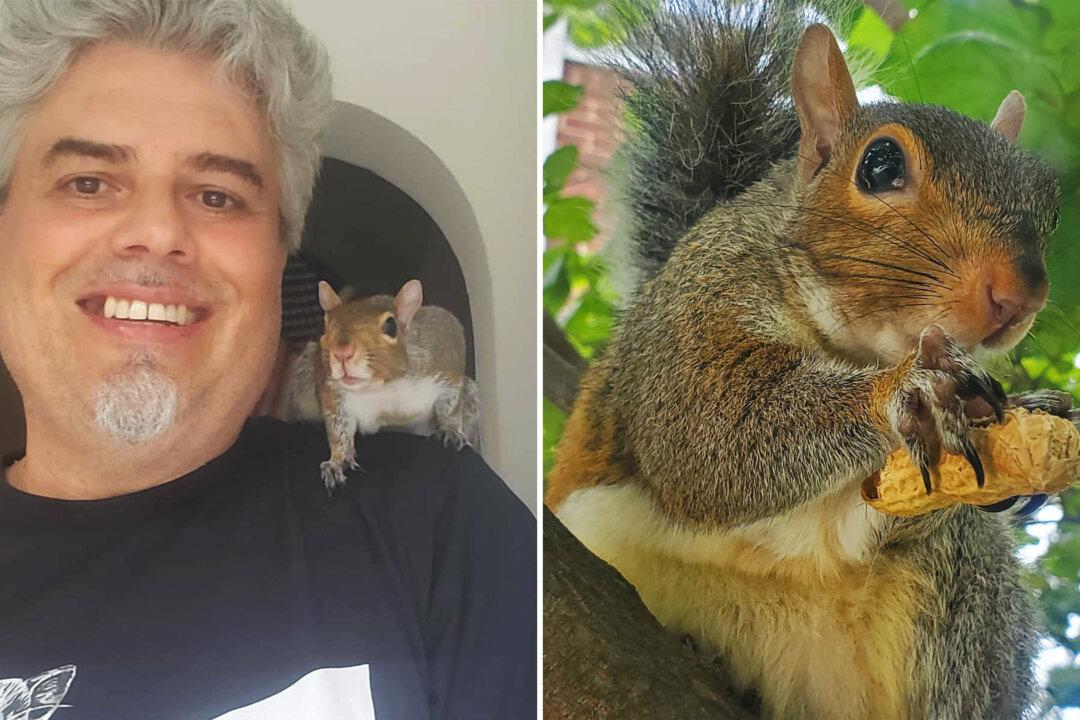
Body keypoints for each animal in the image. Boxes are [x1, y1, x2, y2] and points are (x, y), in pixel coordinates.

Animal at [287, 279, 481, 491]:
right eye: (326, 324)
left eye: (391, 325)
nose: (341, 353)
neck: (383, 385)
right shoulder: (330, 389)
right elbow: (338, 428)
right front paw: (338, 461)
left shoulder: (445, 357)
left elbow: (451, 402)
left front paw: (451, 430)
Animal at [546, 1, 1066, 718]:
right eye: (879, 166)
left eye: (1051, 201)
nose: (1019, 294)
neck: (855, 348)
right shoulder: (694, 304)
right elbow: (704, 433)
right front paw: (910, 393)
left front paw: (1033, 418)